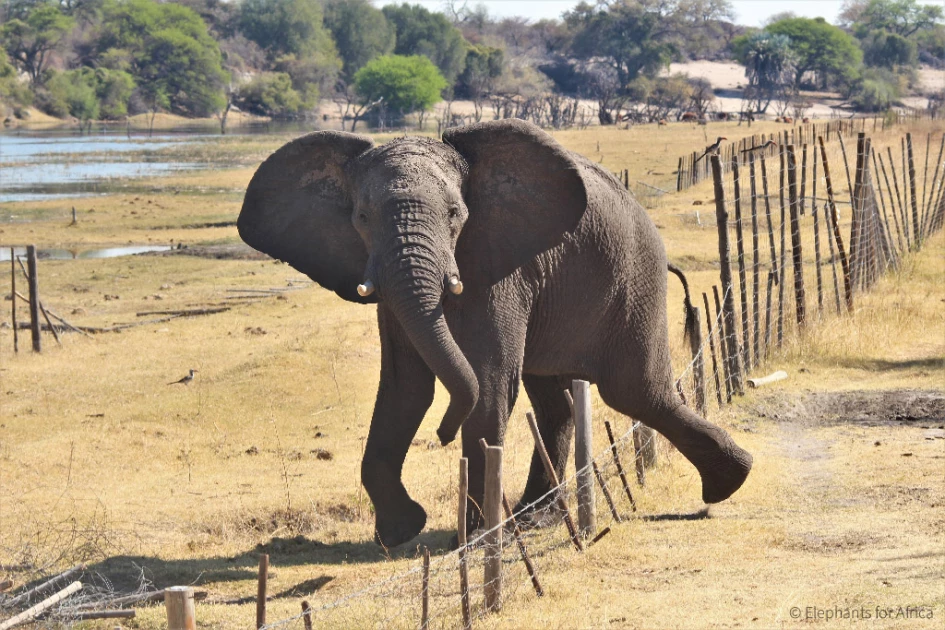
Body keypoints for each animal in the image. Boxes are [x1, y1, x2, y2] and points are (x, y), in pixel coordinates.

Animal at [238, 118, 752, 548]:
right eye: (362, 218)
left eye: (454, 214)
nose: (443, 434)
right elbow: (405, 389)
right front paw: (401, 532)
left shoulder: (500, 266)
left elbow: (487, 386)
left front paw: (471, 544)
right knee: (560, 401)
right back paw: (536, 517)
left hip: (635, 274)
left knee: (636, 391)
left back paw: (728, 484)